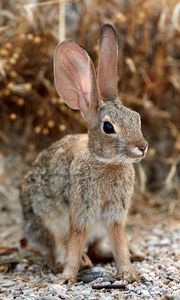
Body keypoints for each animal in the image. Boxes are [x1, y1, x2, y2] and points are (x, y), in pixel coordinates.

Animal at [20, 24, 148, 284]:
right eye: (108, 127)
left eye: (136, 117)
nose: (142, 147)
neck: (106, 162)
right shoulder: (81, 210)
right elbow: (75, 239)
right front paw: (68, 276)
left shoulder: (115, 215)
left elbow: (119, 240)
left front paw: (129, 273)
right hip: (45, 222)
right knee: (58, 248)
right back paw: (81, 262)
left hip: (97, 232)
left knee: (98, 248)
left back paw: (131, 254)